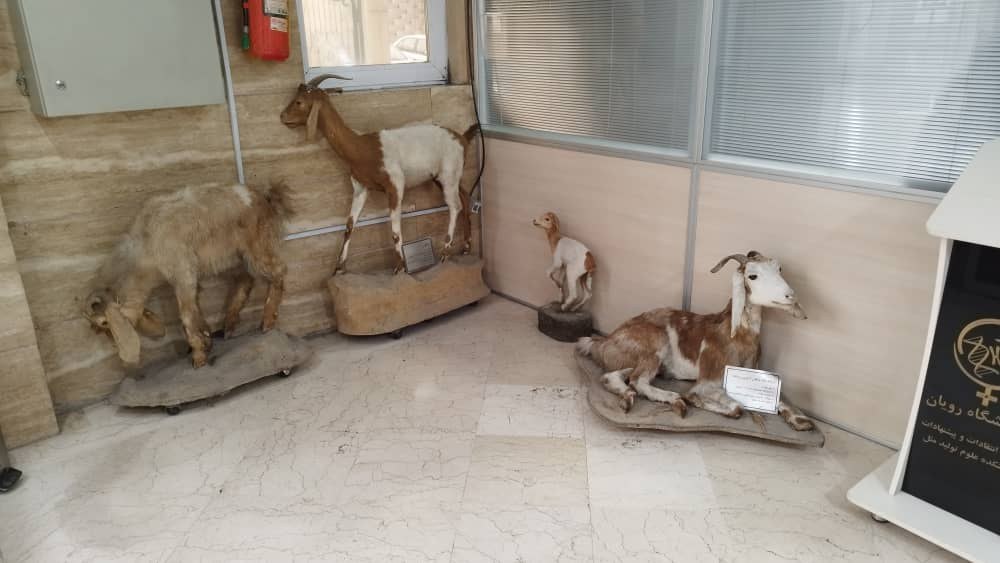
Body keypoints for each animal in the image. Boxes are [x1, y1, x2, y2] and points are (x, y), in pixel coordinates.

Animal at [83, 181, 293, 368]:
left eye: (104, 322)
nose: (113, 346)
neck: (145, 243)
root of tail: (265, 198)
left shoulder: (183, 274)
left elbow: (186, 317)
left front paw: (199, 357)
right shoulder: (187, 278)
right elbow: (195, 310)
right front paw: (206, 339)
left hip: (257, 248)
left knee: (279, 270)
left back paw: (267, 321)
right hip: (231, 258)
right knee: (245, 279)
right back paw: (229, 325)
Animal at [280, 74, 479, 274]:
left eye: (299, 101)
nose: (282, 116)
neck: (363, 147)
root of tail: (462, 138)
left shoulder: (396, 185)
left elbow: (395, 231)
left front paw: (399, 267)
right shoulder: (360, 188)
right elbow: (349, 226)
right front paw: (338, 268)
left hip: (448, 175)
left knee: (455, 206)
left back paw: (445, 253)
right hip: (444, 178)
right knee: (465, 197)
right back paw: (466, 247)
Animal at [576, 250, 815, 431]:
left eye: (779, 269)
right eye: (752, 276)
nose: (790, 295)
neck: (735, 335)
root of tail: (603, 342)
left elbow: (780, 399)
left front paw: (801, 421)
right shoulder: (709, 381)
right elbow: (736, 408)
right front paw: (693, 399)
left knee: (612, 377)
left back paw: (628, 398)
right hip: (655, 345)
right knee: (637, 380)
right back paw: (676, 401)